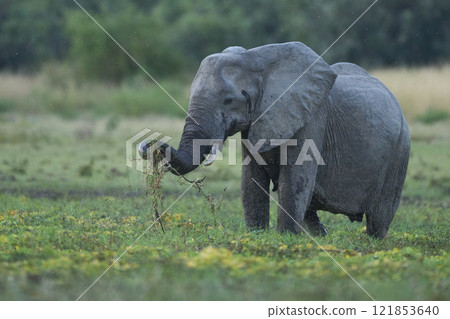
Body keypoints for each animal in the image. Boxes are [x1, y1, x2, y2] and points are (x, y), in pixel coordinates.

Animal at [139, 41, 410, 239]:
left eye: (228, 100)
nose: (151, 146)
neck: (255, 58)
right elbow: (251, 179)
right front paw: (257, 235)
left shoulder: (311, 118)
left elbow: (295, 177)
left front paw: (285, 238)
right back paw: (320, 237)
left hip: (399, 152)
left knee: (379, 216)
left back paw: (372, 240)